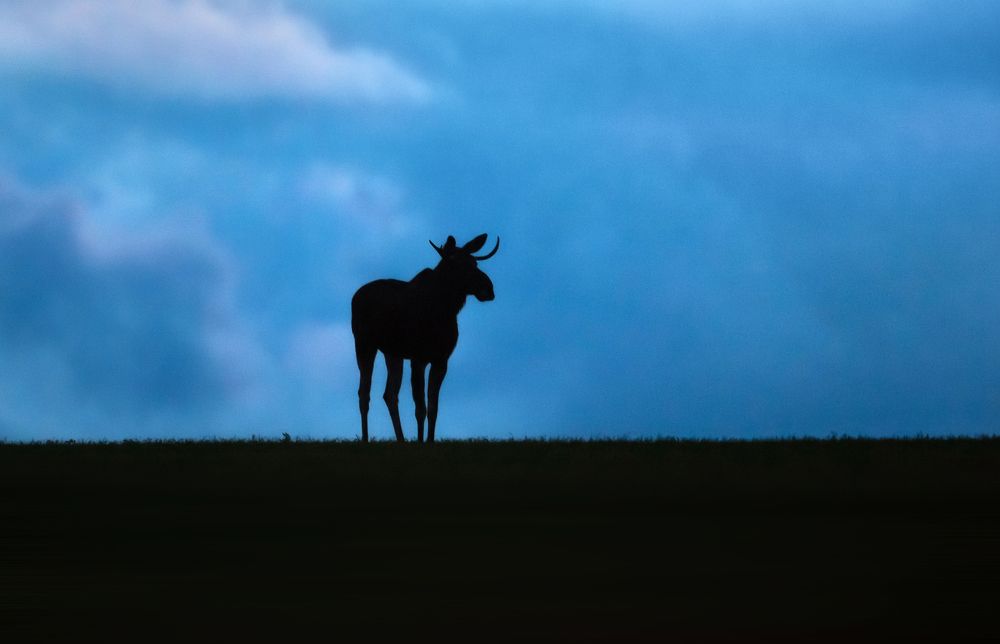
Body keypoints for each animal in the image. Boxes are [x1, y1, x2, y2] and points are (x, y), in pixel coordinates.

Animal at [351, 234, 499, 442]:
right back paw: (365, 438)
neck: (444, 311)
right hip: (364, 343)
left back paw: (401, 439)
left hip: (393, 353)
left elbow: (433, 408)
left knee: (389, 394)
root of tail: (355, 296)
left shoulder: (441, 360)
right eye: (457, 263)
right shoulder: (418, 359)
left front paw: (429, 440)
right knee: (364, 392)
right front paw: (421, 441)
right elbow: (420, 409)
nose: (489, 288)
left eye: (474, 262)